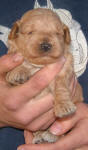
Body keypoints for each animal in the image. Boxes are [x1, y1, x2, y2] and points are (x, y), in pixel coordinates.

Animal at [5, 8, 83, 144]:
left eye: (57, 33)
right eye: (30, 32)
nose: (46, 45)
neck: (40, 65)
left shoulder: (65, 67)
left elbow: (61, 86)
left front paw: (63, 106)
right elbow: (20, 59)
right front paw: (17, 72)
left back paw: (49, 135)